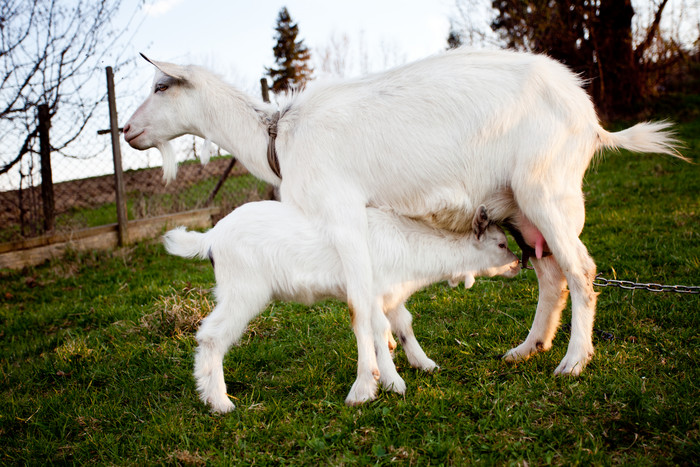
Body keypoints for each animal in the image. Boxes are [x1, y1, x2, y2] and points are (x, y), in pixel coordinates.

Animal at [123, 48, 680, 406]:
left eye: (159, 86)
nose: (127, 130)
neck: (279, 138)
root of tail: (590, 118)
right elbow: (378, 304)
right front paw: (393, 361)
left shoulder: (342, 212)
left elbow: (357, 305)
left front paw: (365, 387)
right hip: (520, 205)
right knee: (549, 273)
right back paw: (528, 350)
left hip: (548, 187)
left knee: (580, 270)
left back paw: (574, 362)